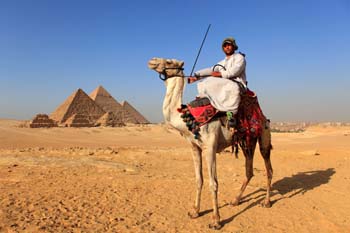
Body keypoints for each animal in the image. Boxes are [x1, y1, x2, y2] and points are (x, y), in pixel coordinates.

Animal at [148, 57, 274, 229]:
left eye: (169, 62)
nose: (152, 61)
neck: (187, 118)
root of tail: (264, 116)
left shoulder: (210, 148)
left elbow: (213, 183)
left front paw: (216, 220)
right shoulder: (194, 147)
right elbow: (198, 180)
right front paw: (195, 212)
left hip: (264, 136)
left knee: (268, 169)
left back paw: (266, 202)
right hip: (248, 141)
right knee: (249, 170)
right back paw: (235, 200)